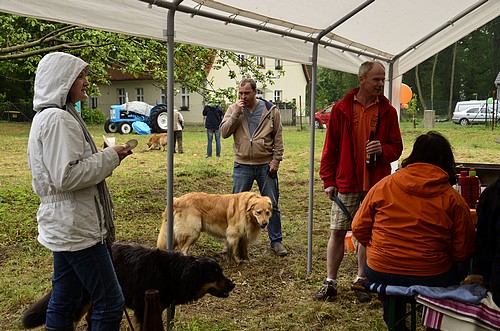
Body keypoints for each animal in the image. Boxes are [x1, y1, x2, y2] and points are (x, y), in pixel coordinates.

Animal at [21, 243, 236, 330]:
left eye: (221, 271)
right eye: (214, 274)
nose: (233, 284)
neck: (174, 272)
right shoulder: (144, 310)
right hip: (82, 298)